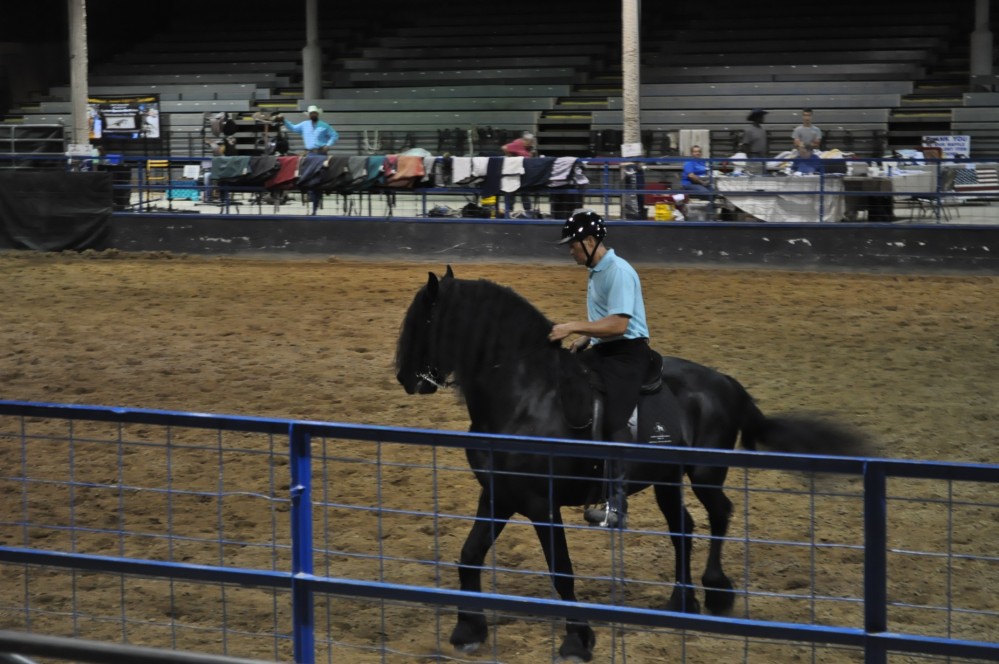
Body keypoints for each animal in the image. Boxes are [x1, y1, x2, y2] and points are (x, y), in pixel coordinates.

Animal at [394, 268, 864, 660]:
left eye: (423, 322)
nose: (404, 376)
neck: (525, 396)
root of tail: (729, 384)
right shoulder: (499, 494)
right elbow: (469, 555)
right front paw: (467, 630)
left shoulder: (542, 504)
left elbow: (561, 571)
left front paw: (577, 639)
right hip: (667, 479)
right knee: (683, 528)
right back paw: (680, 600)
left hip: (705, 474)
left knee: (720, 513)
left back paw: (716, 591)